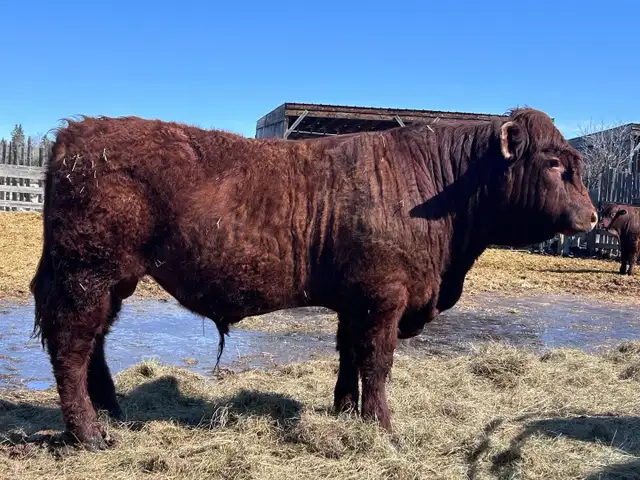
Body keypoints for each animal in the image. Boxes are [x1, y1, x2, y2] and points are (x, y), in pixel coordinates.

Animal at [30, 107, 597, 449]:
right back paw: (90, 434)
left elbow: (348, 357)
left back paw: (113, 411)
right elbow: (377, 363)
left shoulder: (355, 302)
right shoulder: (383, 298)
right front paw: (382, 428)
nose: (591, 217)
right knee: (72, 344)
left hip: (110, 281)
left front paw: (345, 412)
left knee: (95, 343)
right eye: (554, 163)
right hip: (87, 273)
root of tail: (74, 134)